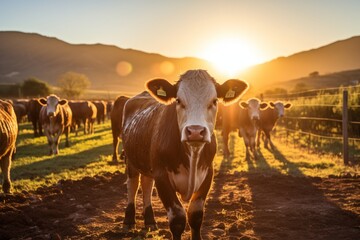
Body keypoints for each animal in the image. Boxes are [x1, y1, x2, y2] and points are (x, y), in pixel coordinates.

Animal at [121, 70, 248, 240]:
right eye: (178, 100)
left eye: (214, 101)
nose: (195, 131)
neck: (191, 155)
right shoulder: (161, 175)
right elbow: (177, 219)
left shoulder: (208, 174)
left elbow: (195, 215)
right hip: (131, 160)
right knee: (133, 185)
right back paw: (128, 221)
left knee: (146, 184)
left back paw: (150, 221)